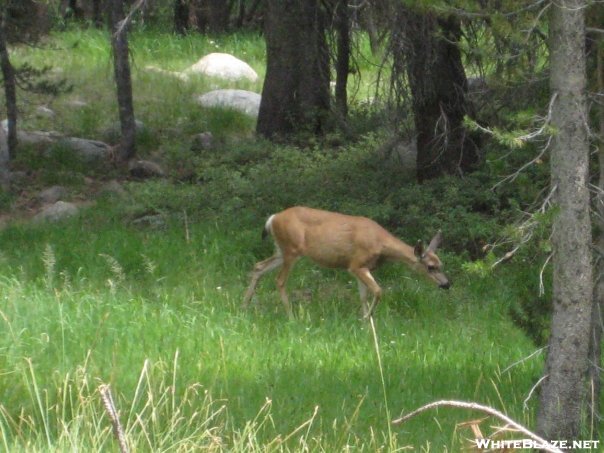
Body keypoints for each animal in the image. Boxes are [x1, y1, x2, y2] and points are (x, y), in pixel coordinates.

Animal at [242, 205, 448, 318]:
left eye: (441, 264)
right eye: (430, 267)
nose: (447, 284)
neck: (381, 245)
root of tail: (272, 218)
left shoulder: (362, 268)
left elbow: (364, 295)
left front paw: (365, 322)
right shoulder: (356, 264)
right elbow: (378, 291)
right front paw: (367, 317)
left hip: (281, 250)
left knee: (258, 266)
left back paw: (245, 306)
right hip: (292, 249)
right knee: (279, 280)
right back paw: (291, 317)